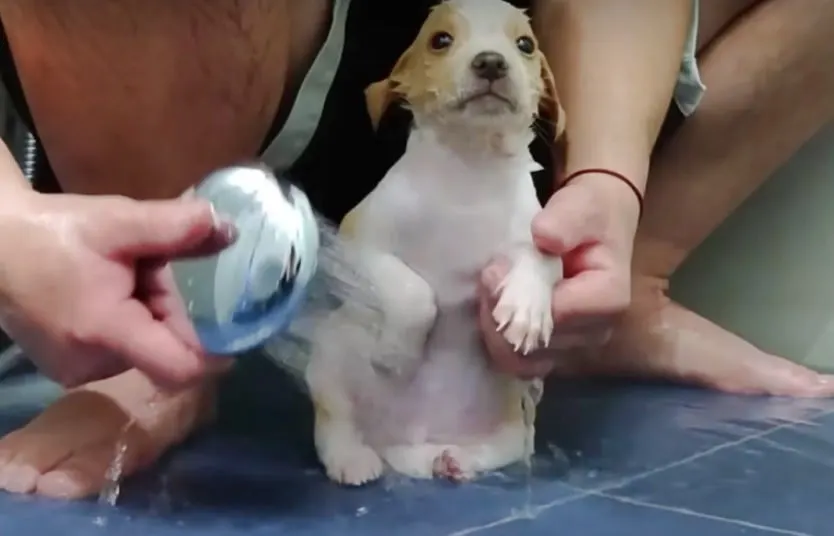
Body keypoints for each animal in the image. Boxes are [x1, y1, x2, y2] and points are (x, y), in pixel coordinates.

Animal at [304, 0, 564, 486]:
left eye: (525, 45)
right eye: (440, 40)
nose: (491, 62)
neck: (469, 168)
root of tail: (405, 445)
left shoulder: (537, 235)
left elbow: (540, 259)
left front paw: (526, 309)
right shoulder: (359, 244)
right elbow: (414, 291)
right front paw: (399, 353)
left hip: (514, 416)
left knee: (504, 446)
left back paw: (456, 459)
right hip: (332, 355)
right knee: (335, 422)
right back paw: (353, 458)